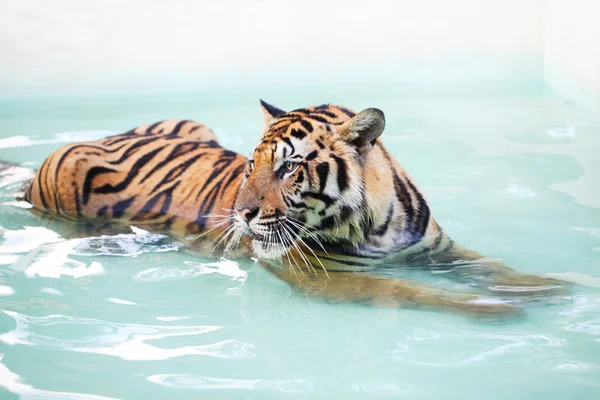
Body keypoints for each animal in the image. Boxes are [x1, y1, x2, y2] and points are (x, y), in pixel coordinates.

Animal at [14, 101, 568, 320]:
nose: (239, 215)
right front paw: (491, 308)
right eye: (249, 166)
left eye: (288, 168)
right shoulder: (327, 277)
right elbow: (410, 292)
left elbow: (492, 267)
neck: (379, 228)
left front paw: (549, 288)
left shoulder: (436, 249)